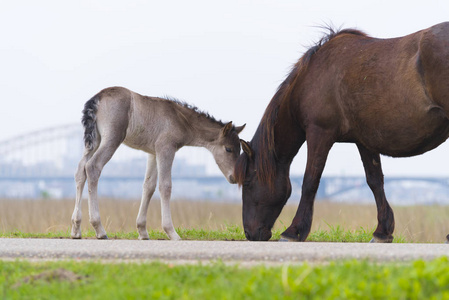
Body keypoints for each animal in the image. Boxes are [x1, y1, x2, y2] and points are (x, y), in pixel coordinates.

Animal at [71, 86, 245, 239]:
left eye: (240, 149)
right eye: (228, 149)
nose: (234, 177)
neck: (181, 120)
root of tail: (97, 98)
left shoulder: (153, 153)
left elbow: (149, 186)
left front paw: (142, 231)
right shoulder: (165, 149)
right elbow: (165, 186)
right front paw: (172, 232)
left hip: (94, 141)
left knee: (80, 170)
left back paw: (76, 228)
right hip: (112, 138)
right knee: (93, 167)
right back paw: (99, 229)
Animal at [233, 22, 448, 243]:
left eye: (247, 182)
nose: (250, 233)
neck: (310, 77)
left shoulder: (319, 133)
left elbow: (310, 181)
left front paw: (294, 231)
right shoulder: (365, 140)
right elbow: (375, 181)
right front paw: (382, 231)